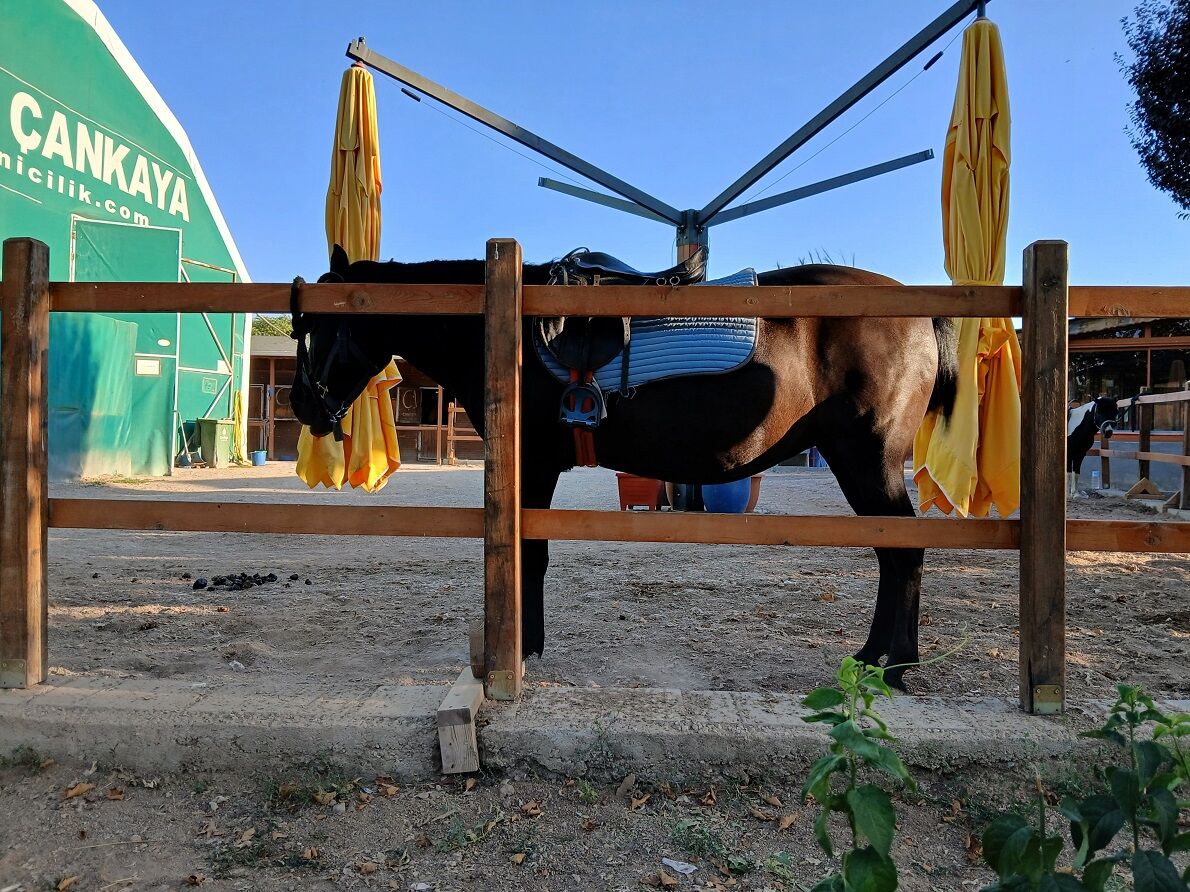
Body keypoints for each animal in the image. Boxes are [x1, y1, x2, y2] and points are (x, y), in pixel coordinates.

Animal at [290, 246, 959, 689]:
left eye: (324, 321)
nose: (302, 403)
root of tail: (917, 312)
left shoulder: (533, 466)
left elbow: (530, 555)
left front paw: (524, 649)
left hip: (867, 460)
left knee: (904, 551)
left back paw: (894, 665)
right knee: (894, 553)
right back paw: (875, 658)